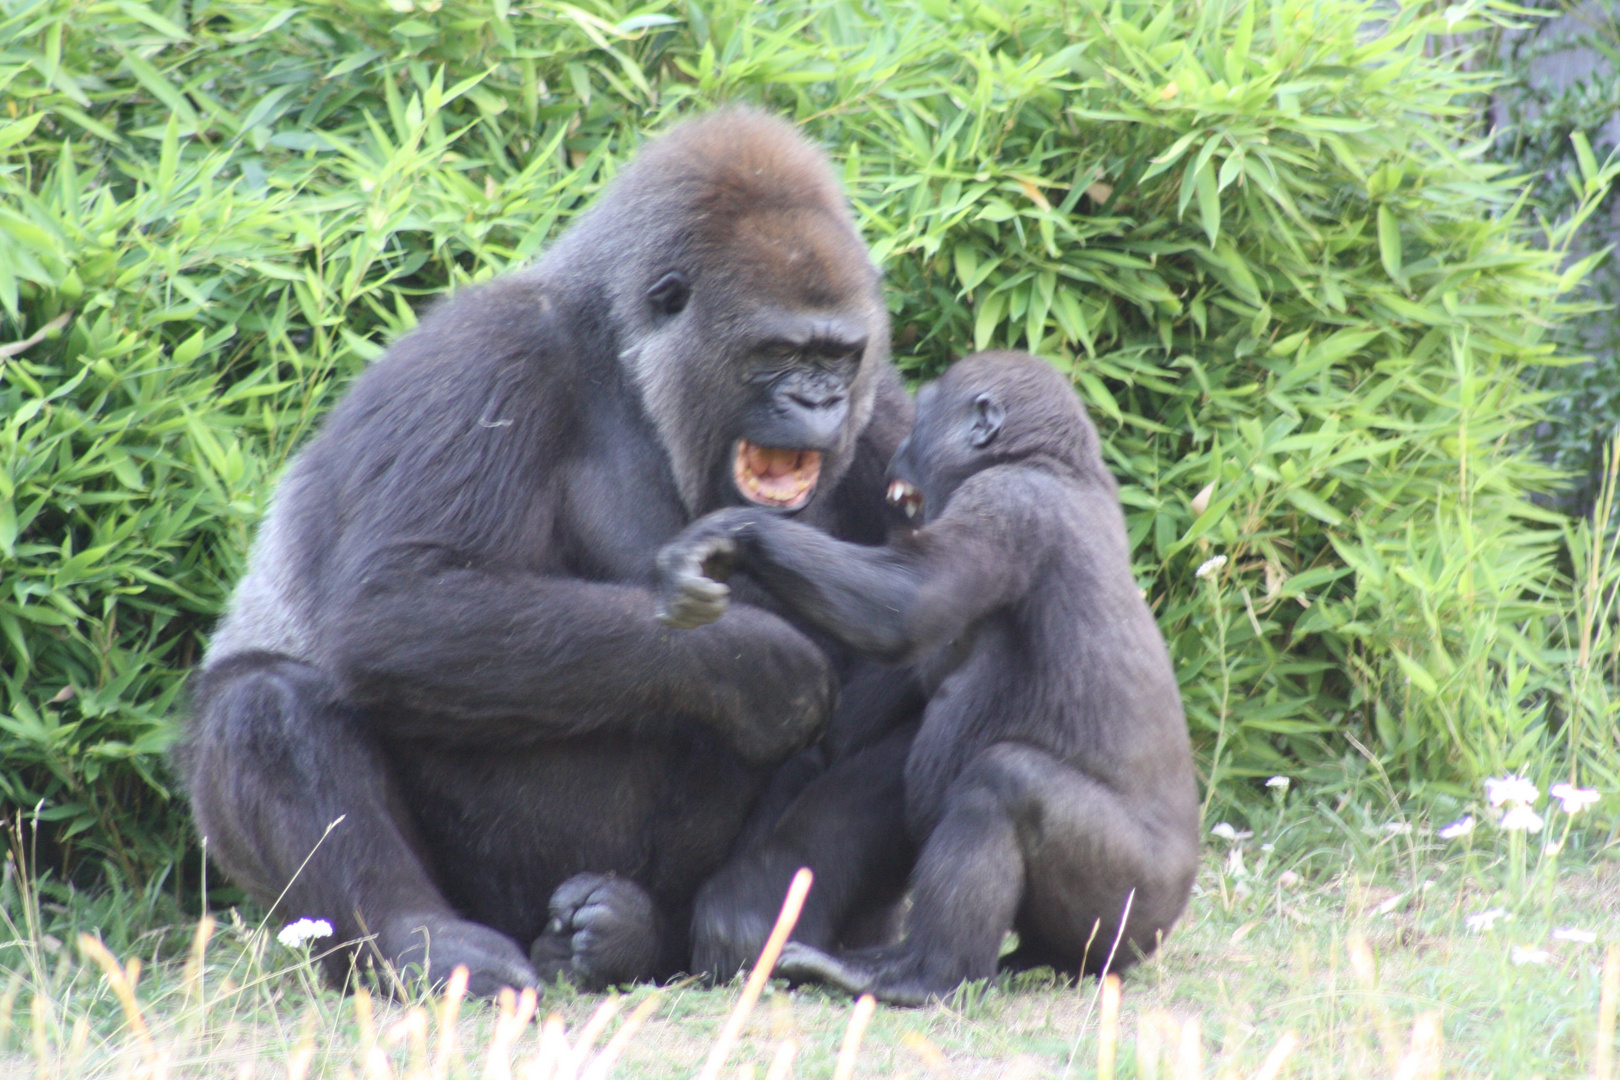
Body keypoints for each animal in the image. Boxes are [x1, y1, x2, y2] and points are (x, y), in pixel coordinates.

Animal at [180, 110, 913, 997]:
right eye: (776, 353)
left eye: (837, 356)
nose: (819, 402)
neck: (627, 362)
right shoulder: (490, 355)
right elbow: (401, 603)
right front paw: (750, 660)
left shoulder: (886, 414)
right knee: (263, 705)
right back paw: (427, 940)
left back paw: (693, 924)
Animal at [651, 352, 1198, 1003]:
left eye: (922, 420)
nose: (897, 451)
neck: (1050, 461)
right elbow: (862, 706)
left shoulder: (1008, 502)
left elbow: (902, 603)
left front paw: (733, 533)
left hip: (1130, 910)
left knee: (1004, 783)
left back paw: (927, 973)